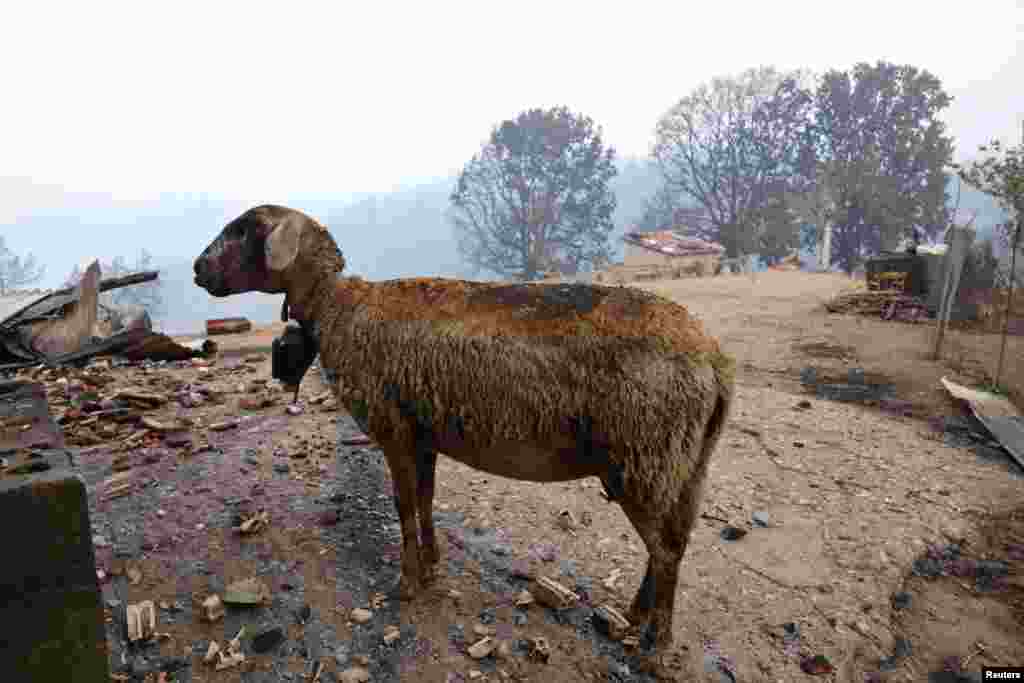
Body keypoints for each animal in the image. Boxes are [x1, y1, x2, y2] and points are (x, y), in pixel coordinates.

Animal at [193, 204, 737, 679]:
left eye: (244, 228)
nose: (198, 269)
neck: (337, 310)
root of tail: (715, 361)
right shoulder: (423, 433)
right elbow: (425, 500)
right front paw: (432, 565)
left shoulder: (394, 428)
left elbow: (403, 505)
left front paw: (407, 583)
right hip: (686, 462)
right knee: (673, 542)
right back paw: (636, 616)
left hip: (644, 455)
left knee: (667, 551)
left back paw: (655, 649)